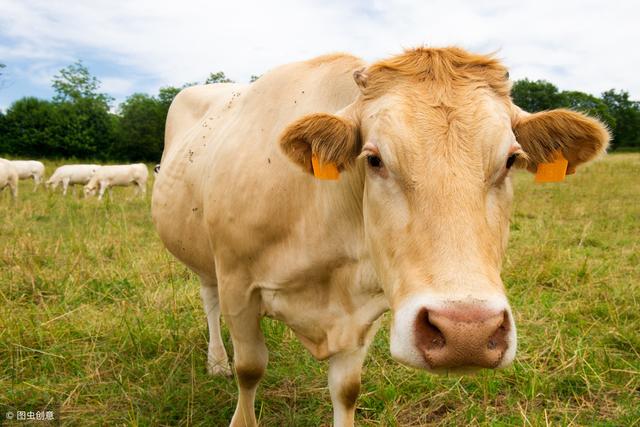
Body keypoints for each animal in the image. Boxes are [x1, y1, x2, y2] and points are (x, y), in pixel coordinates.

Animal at [151, 48, 608, 426]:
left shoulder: (365, 310)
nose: (468, 334)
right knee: (209, 301)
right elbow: (250, 370)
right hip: (204, 260)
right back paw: (216, 361)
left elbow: (346, 390)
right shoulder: (238, 285)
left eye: (512, 159)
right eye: (373, 159)